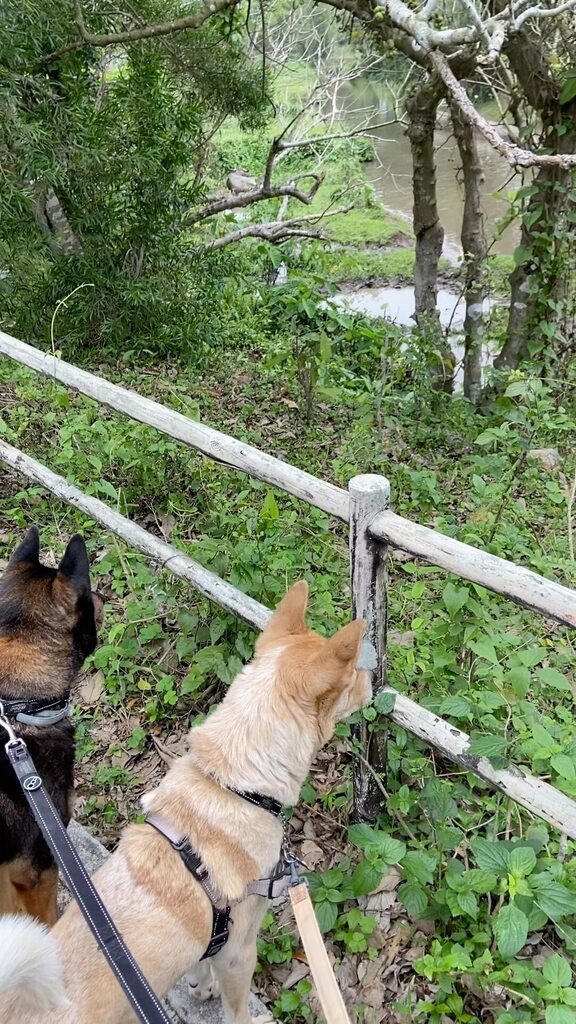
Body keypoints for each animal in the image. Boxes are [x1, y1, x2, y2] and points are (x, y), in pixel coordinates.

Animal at [0, 585, 366, 1024]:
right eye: (353, 675)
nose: (375, 679)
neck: (231, 781)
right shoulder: (238, 951)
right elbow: (236, 1008)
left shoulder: (215, 939)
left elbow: (201, 960)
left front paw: (199, 984)